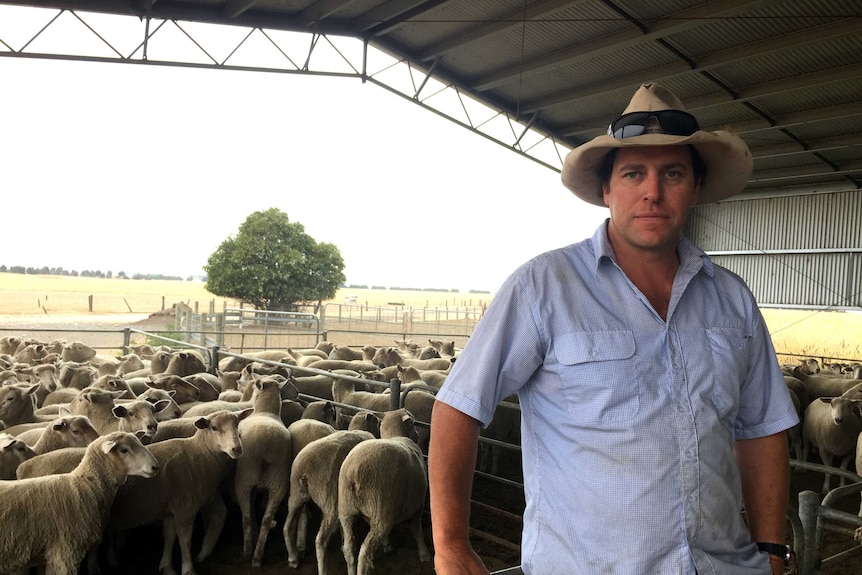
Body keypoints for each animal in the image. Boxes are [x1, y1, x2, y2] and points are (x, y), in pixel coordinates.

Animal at [286, 430, 376, 572]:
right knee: (320, 540)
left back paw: (293, 559)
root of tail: (305, 473)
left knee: (287, 526)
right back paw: (322, 569)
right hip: (328, 499)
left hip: (296, 495)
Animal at [338, 410, 432, 575]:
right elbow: (417, 528)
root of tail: (355, 471)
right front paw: (424, 554)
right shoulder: (418, 503)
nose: (417, 435)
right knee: (365, 553)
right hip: (381, 511)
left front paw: (387, 545)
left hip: (346, 510)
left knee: (349, 548)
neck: (395, 435)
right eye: (413, 423)